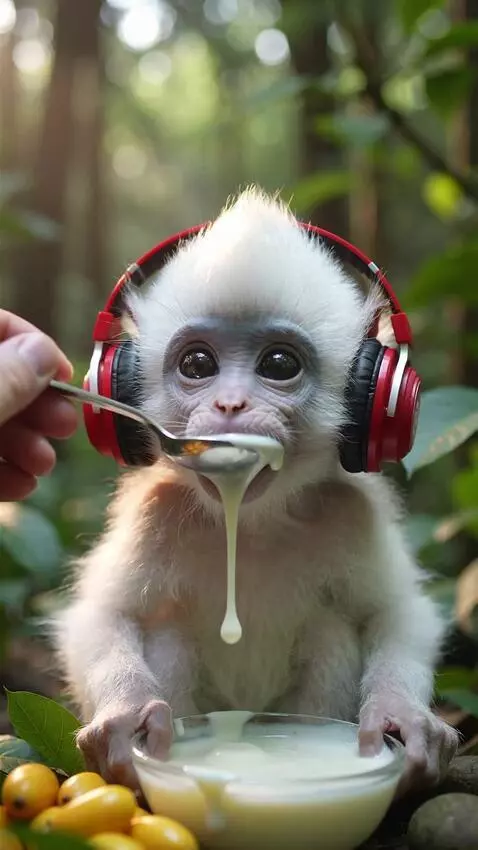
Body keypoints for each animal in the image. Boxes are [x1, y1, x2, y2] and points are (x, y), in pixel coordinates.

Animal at [53, 188, 458, 796]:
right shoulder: (154, 510)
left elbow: (395, 613)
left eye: (279, 364)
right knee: (168, 637)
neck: (252, 518)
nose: (230, 404)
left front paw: (401, 718)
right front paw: (127, 714)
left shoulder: (352, 512)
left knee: (330, 633)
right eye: (198, 363)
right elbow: (103, 615)